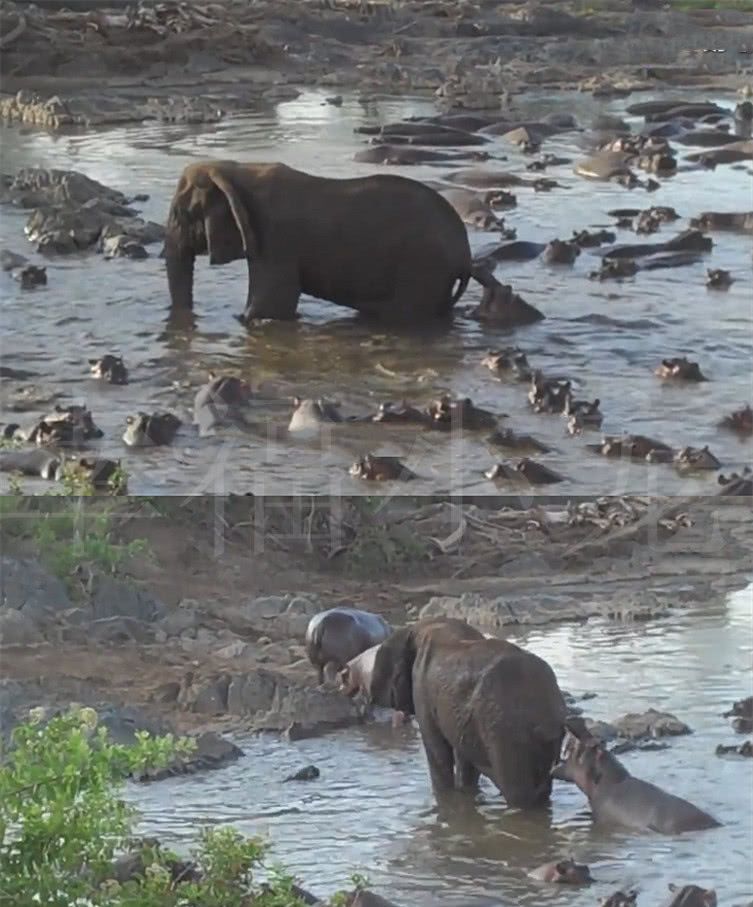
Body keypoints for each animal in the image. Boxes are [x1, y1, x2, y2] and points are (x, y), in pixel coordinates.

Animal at [164, 160, 470, 326]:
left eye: (181, 214)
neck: (236, 169)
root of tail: (465, 253)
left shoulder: (277, 240)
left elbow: (270, 308)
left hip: (422, 267)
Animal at [368, 616, 568, 808]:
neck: (418, 628)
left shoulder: (421, 688)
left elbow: (438, 753)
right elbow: (464, 758)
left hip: (506, 731)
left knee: (518, 794)